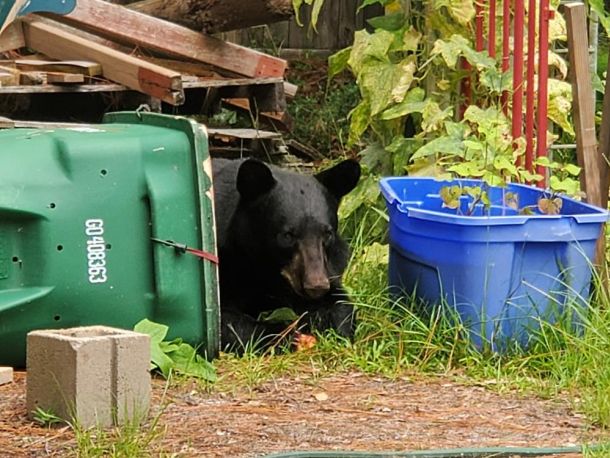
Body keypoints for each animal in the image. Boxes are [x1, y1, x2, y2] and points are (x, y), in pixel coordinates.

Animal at [212, 158, 361, 351]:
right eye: (287, 235)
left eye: (328, 233)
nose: (316, 286)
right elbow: (229, 322)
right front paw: (286, 335)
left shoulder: (330, 263)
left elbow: (340, 304)